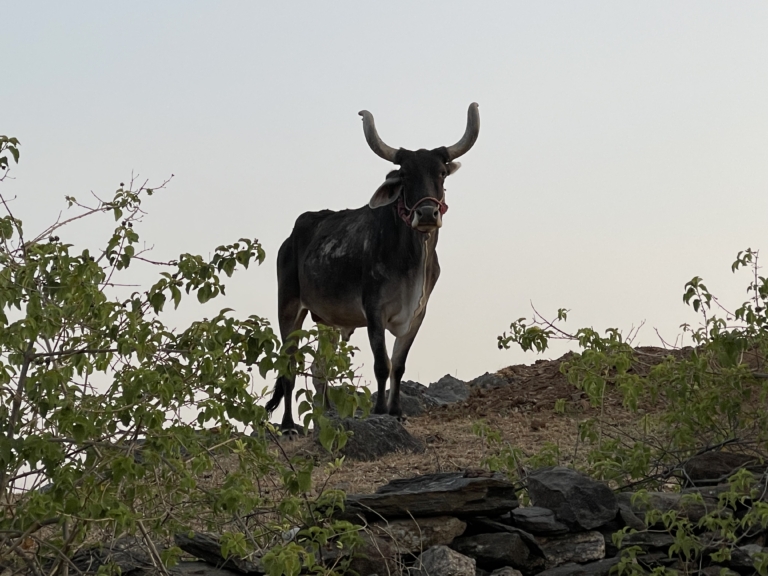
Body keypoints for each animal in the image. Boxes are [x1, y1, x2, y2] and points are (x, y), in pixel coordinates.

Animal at [265, 103, 480, 432]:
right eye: (404, 175)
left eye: (441, 173)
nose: (426, 213)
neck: (412, 260)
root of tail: (291, 238)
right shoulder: (374, 310)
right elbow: (382, 363)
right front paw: (379, 410)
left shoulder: (418, 314)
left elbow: (398, 365)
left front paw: (396, 411)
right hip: (289, 306)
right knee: (289, 363)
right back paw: (289, 425)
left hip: (328, 320)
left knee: (319, 367)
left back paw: (326, 415)